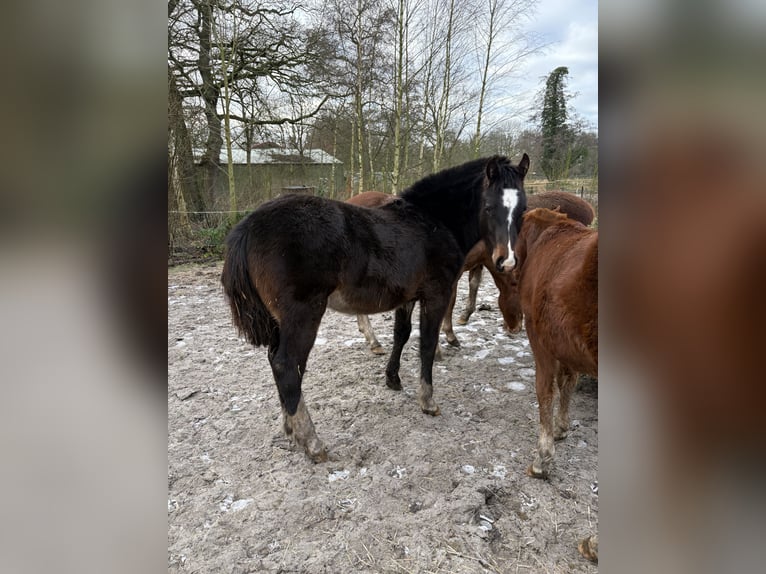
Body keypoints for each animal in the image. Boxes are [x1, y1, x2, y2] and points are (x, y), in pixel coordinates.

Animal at [222, 155, 528, 462]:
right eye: (489, 207)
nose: (507, 260)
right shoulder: (437, 294)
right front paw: (428, 401)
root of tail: (248, 226)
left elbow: (401, 334)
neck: (433, 222)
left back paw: (289, 427)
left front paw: (393, 379)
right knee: (286, 364)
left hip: (281, 320)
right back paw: (312, 442)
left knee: (280, 363)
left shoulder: (407, 297)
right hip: (303, 314)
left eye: (523, 209)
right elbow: (427, 345)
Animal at [516, 209, 600, 480]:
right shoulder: (567, 344)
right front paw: (562, 427)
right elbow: (568, 382)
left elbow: (544, 391)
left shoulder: (540, 342)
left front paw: (543, 458)